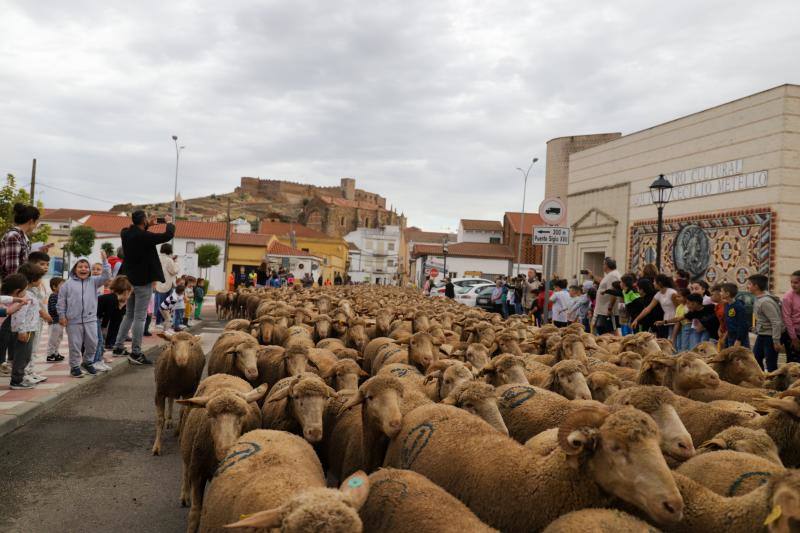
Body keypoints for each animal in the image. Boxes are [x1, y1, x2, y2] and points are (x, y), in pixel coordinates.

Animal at [175, 374, 266, 532]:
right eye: (210, 415)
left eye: (243, 414)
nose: (226, 450)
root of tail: (225, 375)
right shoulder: (197, 471)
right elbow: (195, 513)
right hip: (187, 450)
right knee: (185, 468)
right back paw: (185, 495)